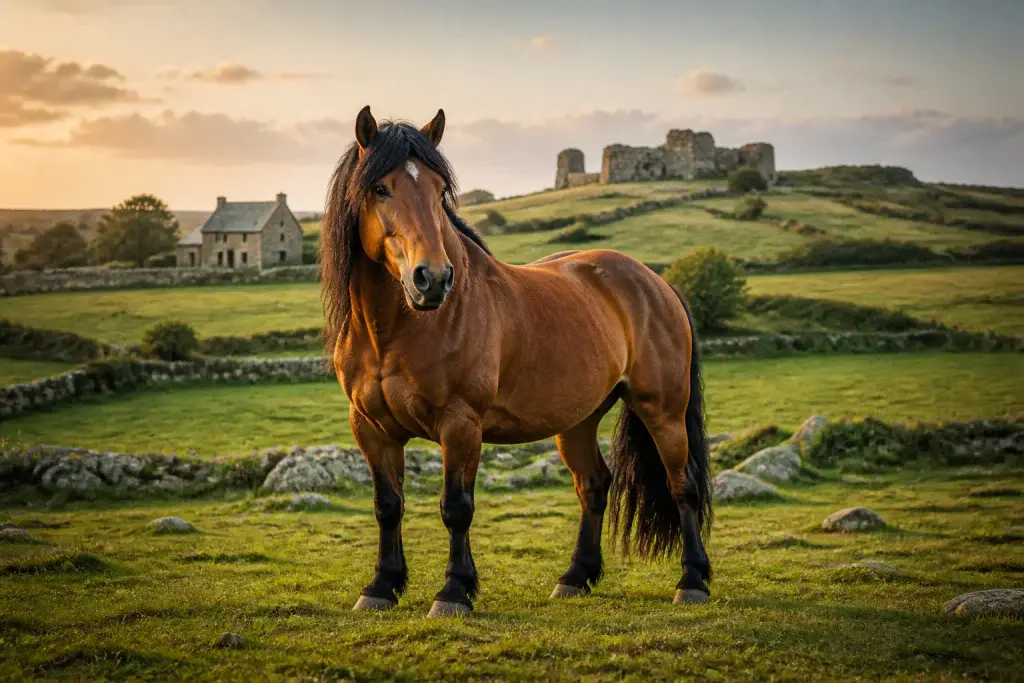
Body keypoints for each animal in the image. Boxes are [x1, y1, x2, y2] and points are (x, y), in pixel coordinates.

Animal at [320, 105, 713, 618]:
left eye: (438, 190)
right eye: (380, 188)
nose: (433, 279)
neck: (395, 331)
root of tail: (656, 281)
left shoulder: (460, 424)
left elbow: (456, 508)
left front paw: (454, 591)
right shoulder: (370, 428)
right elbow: (388, 505)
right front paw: (381, 586)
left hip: (663, 412)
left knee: (682, 486)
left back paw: (693, 581)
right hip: (578, 421)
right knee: (594, 485)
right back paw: (575, 577)